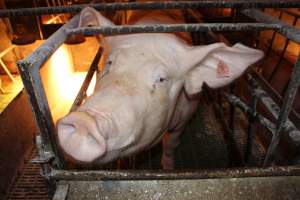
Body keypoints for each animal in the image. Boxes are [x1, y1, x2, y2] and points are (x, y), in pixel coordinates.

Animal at [56, 6, 262, 169]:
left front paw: (168, 168)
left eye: (162, 79)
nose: (83, 120)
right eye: (109, 63)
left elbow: (171, 144)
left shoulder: (186, 114)